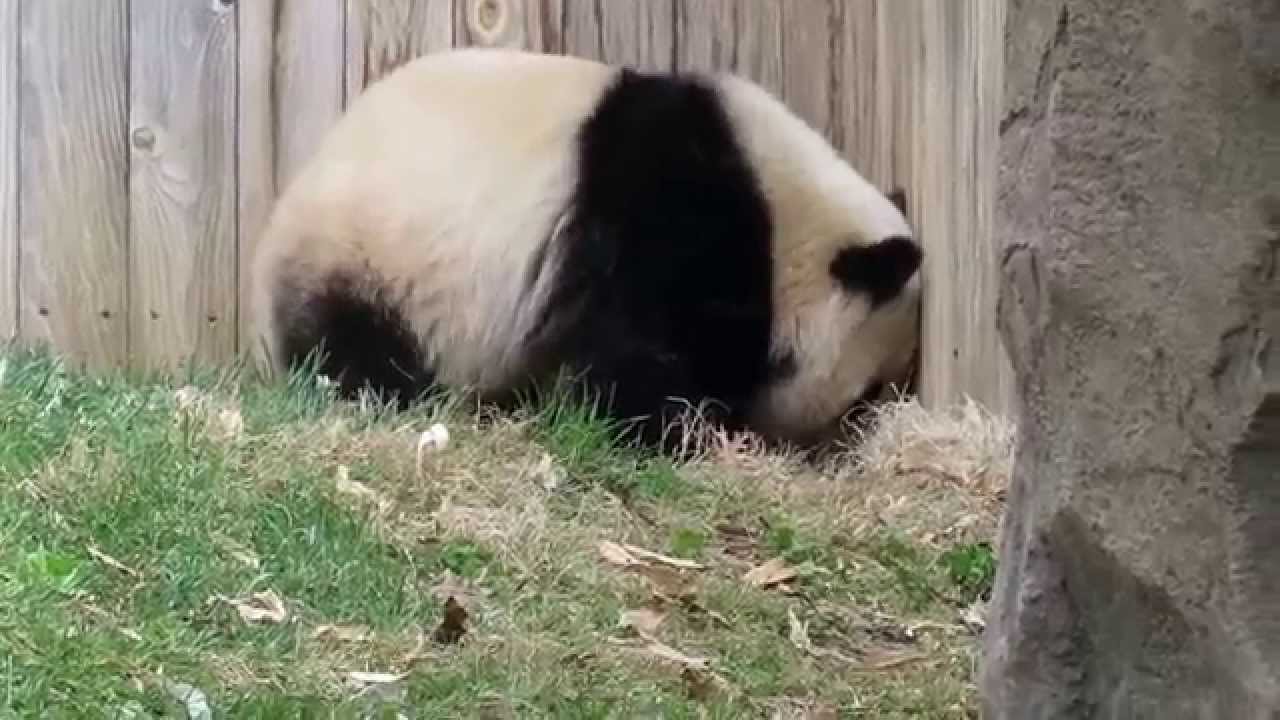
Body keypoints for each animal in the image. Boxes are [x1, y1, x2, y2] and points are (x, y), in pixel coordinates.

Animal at [249, 47, 923, 452]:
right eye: (866, 394)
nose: (845, 442)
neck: (783, 217)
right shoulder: (669, 219)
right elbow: (633, 348)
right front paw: (680, 430)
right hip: (367, 256)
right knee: (355, 342)